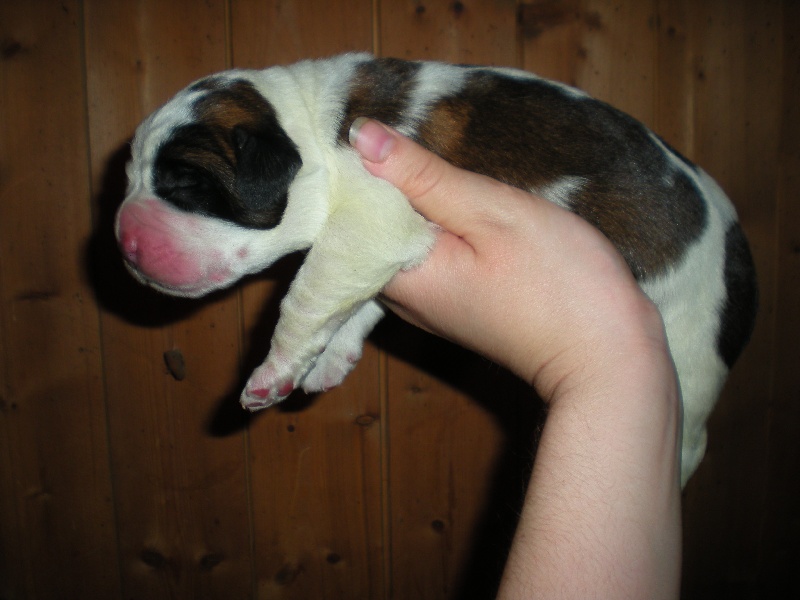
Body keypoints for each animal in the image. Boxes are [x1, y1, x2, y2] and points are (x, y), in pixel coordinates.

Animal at [115, 53, 757, 485]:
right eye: (128, 177)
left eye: (184, 183)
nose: (122, 239)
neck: (304, 125)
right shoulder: (374, 247)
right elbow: (351, 300)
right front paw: (332, 358)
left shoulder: (377, 216)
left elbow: (306, 296)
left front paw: (272, 372)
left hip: (692, 360)